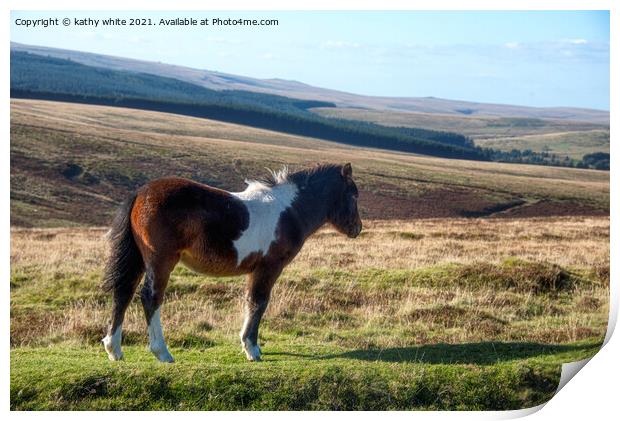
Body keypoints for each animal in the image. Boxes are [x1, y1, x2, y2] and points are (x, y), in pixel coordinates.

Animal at [102, 162, 364, 360]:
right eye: (353, 195)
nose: (357, 228)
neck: (289, 211)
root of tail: (141, 193)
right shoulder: (269, 268)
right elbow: (259, 302)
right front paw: (252, 349)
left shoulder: (256, 270)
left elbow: (251, 302)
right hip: (161, 261)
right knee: (151, 297)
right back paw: (162, 352)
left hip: (139, 260)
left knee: (123, 293)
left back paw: (114, 350)